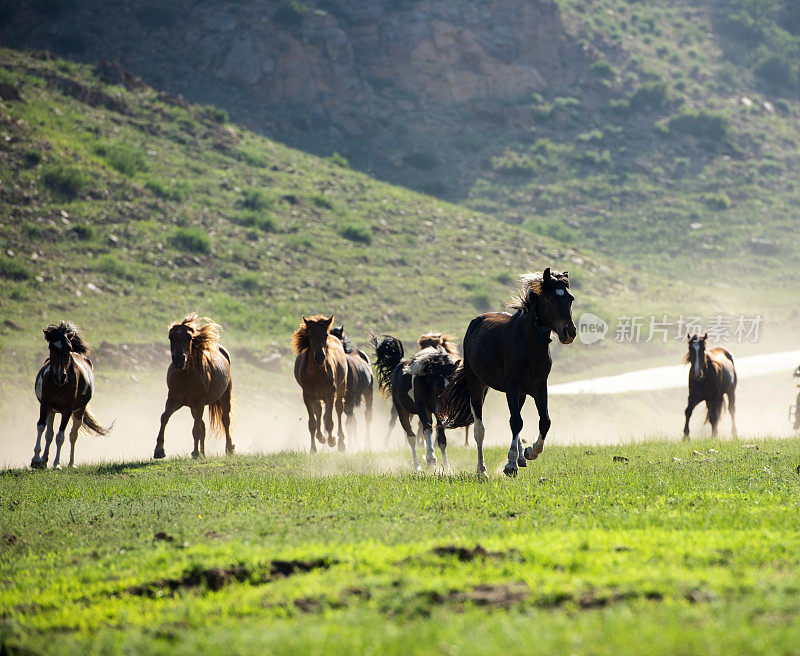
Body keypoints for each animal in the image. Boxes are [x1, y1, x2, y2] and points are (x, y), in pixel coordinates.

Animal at [30, 320, 111, 468]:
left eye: (68, 347)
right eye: (51, 347)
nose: (60, 377)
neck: (58, 385)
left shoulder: (67, 410)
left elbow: (61, 436)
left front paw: (57, 463)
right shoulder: (45, 404)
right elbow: (41, 427)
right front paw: (36, 460)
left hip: (79, 411)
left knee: (73, 435)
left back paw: (71, 463)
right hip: (52, 410)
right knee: (49, 434)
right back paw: (44, 459)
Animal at [152, 314, 233, 458]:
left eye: (189, 337)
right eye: (171, 337)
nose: (179, 359)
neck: (186, 378)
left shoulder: (199, 403)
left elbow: (196, 430)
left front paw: (195, 453)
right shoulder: (173, 400)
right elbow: (164, 417)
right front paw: (159, 450)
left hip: (224, 396)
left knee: (225, 421)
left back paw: (229, 449)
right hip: (193, 408)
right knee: (203, 426)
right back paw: (203, 453)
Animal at [290, 316, 346, 454]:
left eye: (325, 334)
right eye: (310, 335)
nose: (320, 357)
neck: (317, 374)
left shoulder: (330, 395)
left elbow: (329, 421)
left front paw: (332, 441)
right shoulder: (307, 396)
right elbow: (312, 423)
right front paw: (313, 448)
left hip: (341, 388)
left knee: (339, 409)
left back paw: (341, 442)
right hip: (316, 397)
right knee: (319, 412)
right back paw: (321, 437)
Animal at [372, 330, 460, 468]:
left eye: (453, 381)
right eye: (437, 383)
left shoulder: (437, 411)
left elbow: (441, 438)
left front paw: (447, 467)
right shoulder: (421, 407)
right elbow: (427, 429)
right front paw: (431, 459)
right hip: (402, 411)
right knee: (411, 437)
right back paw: (417, 466)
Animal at [438, 270, 576, 480]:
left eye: (570, 298)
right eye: (549, 299)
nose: (569, 332)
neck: (528, 344)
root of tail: (478, 320)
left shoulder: (539, 387)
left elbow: (544, 421)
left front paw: (530, 452)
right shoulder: (512, 386)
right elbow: (515, 422)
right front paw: (510, 465)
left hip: (521, 393)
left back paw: (521, 457)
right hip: (476, 385)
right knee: (480, 429)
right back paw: (482, 470)